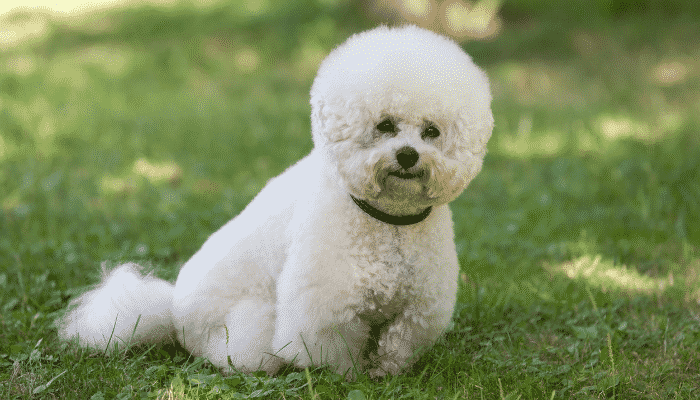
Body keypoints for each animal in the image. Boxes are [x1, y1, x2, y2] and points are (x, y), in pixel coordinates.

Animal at [57, 25, 492, 378]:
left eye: (431, 131)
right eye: (385, 125)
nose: (407, 155)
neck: (386, 222)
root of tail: (174, 313)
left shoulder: (420, 305)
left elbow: (398, 343)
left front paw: (384, 371)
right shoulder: (324, 304)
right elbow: (334, 351)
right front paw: (350, 377)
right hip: (251, 326)